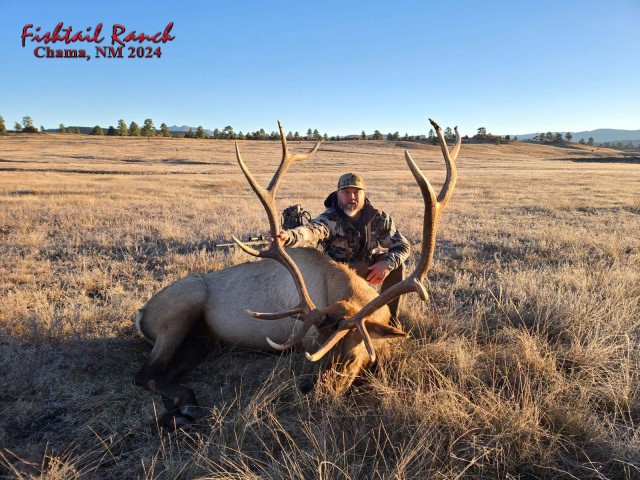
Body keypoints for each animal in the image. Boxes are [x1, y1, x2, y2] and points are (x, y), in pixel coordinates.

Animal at [134, 119, 460, 428]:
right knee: (146, 372)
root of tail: (141, 312)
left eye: (352, 357)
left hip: (202, 339)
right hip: (183, 305)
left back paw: (178, 411)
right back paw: (184, 408)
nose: (318, 396)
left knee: (167, 370)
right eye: (317, 352)